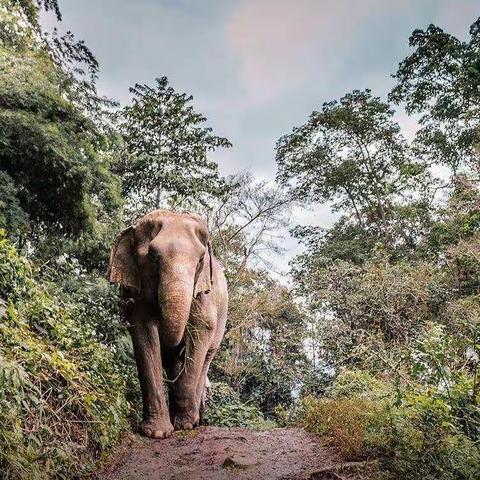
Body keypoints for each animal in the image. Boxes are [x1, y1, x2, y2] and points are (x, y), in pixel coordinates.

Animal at [108, 210, 228, 438]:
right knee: (173, 363)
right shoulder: (136, 294)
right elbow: (144, 331)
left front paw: (185, 426)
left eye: (200, 260)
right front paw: (156, 433)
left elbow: (201, 331)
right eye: (153, 257)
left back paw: (194, 421)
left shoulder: (203, 294)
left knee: (205, 357)